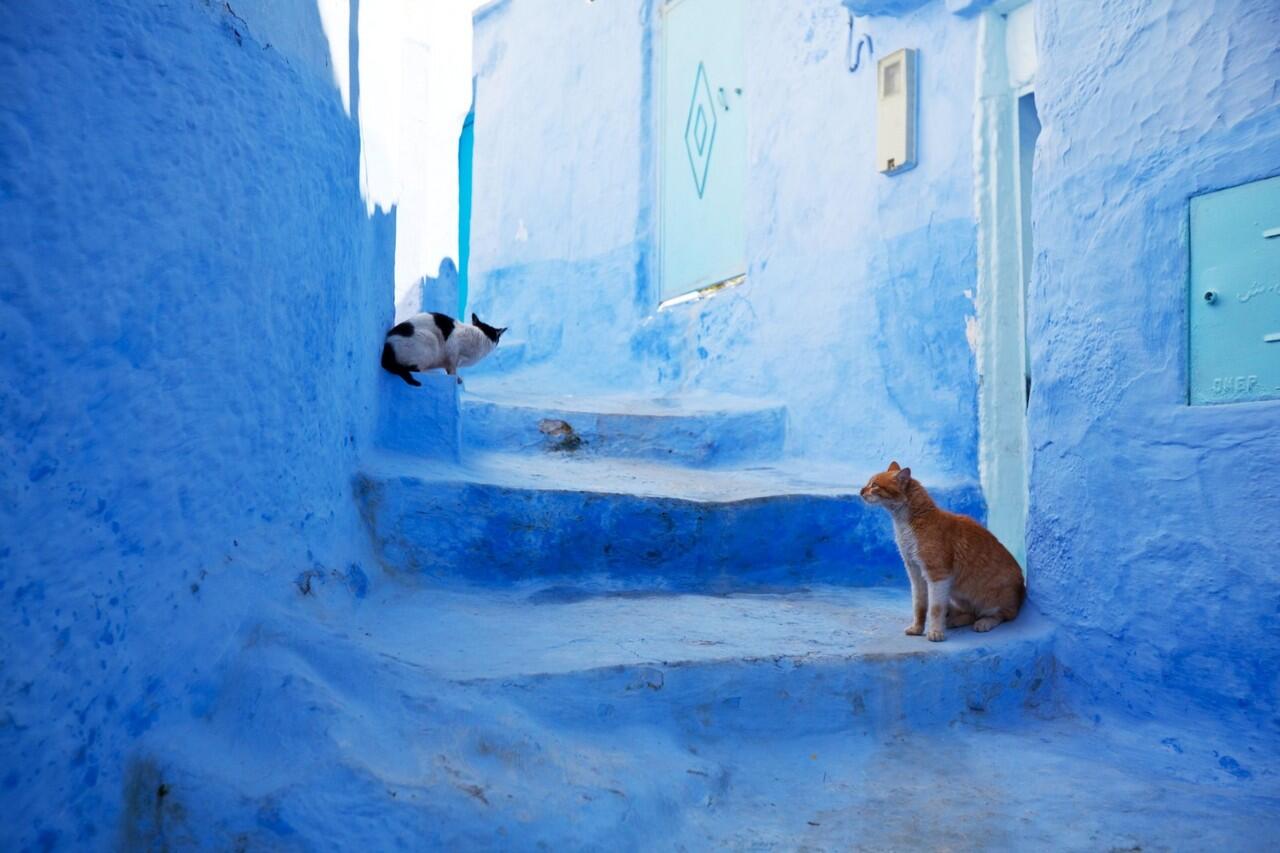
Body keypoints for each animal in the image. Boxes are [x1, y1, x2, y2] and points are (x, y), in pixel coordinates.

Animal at [860, 458, 1029, 637]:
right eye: (869, 483)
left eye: (874, 485)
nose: (861, 490)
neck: (906, 524)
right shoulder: (915, 572)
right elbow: (919, 605)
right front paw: (917, 628)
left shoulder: (938, 575)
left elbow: (935, 608)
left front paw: (935, 632)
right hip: (957, 593)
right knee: (971, 613)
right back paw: (955, 621)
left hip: (990, 599)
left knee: (1002, 614)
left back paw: (984, 622)